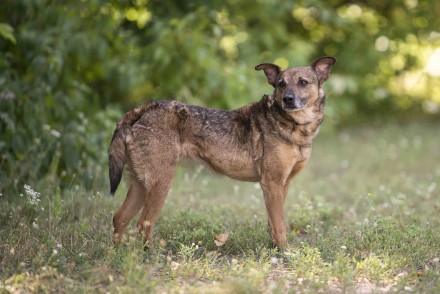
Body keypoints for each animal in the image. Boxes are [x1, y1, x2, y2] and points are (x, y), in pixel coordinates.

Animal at [108, 55, 336, 248]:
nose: (287, 99)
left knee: (120, 218)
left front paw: (274, 248)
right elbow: (279, 225)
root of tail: (143, 109)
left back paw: (119, 256)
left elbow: (273, 222)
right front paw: (285, 251)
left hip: (140, 184)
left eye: (303, 82)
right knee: (143, 222)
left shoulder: (283, 184)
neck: (293, 125)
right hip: (161, 181)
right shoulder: (272, 183)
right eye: (281, 84)